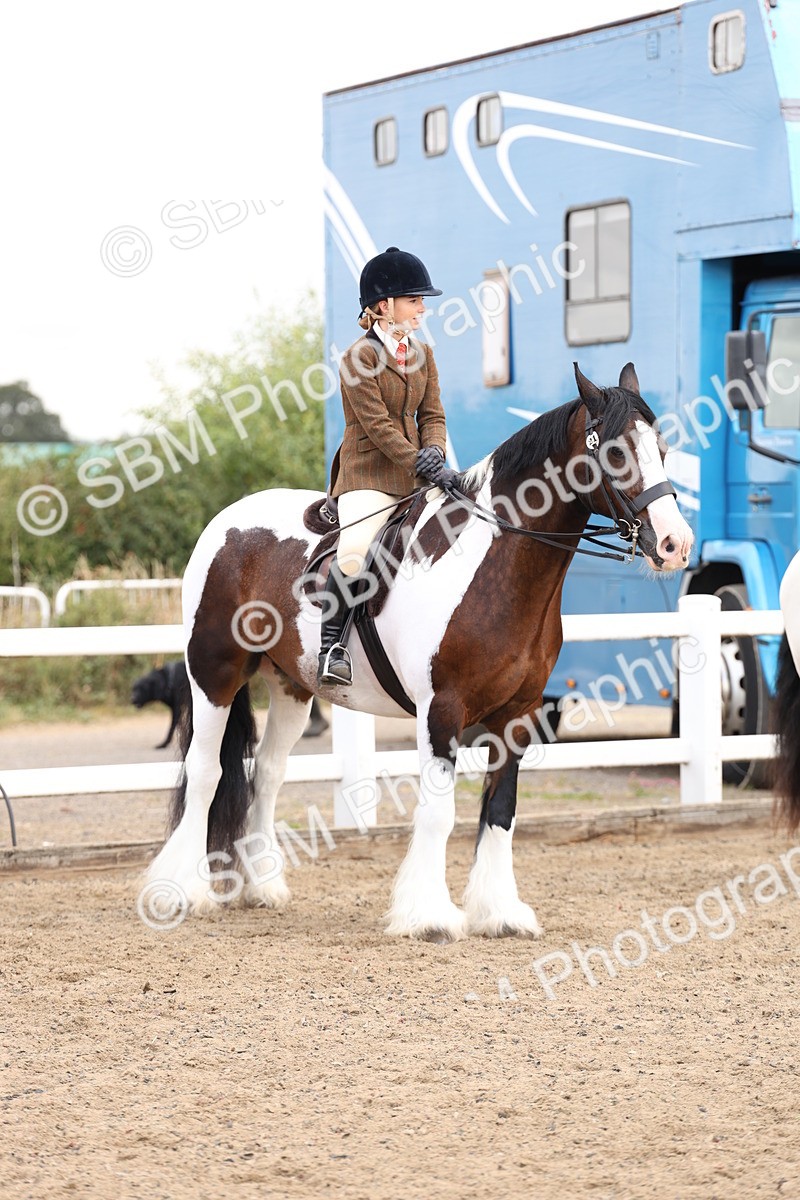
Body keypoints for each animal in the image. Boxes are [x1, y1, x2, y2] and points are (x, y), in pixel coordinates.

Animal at [144, 363, 694, 941]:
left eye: (661, 447)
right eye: (616, 451)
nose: (675, 544)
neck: (492, 566)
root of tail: (225, 523)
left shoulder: (519, 715)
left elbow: (501, 810)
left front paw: (500, 912)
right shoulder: (442, 711)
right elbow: (438, 814)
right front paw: (428, 915)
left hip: (291, 686)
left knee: (267, 772)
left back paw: (262, 888)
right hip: (214, 674)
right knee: (206, 771)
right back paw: (182, 892)